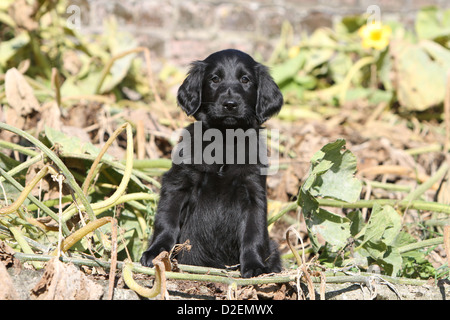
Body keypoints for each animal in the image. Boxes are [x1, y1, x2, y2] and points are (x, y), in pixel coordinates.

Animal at [140, 48, 282, 278]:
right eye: (215, 79)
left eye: (245, 79)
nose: (230, 104)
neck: (224, 140)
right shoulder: (178, 183)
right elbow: (167, 220)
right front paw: (156, 252)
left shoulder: (253, 190)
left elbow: (254, 232)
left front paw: (254, 265)